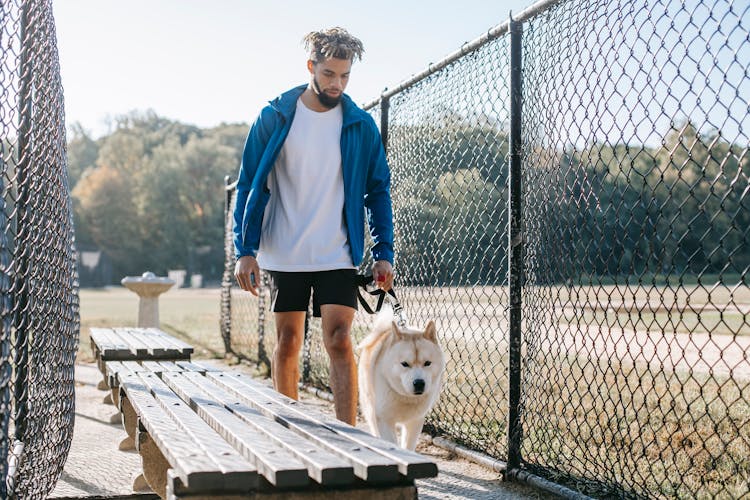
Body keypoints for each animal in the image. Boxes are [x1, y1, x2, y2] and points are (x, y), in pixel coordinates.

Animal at [356, 308, 444, 450]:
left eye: (427, 363)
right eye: (405, 364)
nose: (419, 383)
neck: (406, 398)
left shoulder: (415, 421)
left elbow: (408, 446)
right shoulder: (384, 419)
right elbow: (391, 442)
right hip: (369, 405)